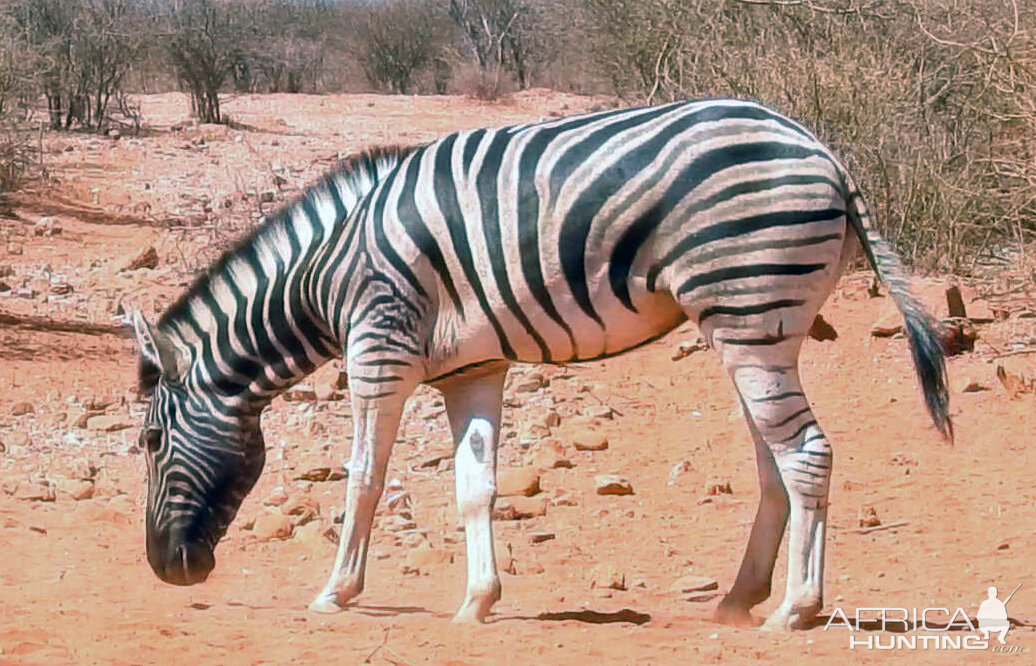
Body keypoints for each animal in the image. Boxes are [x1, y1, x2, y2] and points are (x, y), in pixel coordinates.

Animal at [131, 98, 953, 629]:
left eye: (148, 441)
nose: (165, 569)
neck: (325, 270)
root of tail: (825, 151)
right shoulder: (469, 370)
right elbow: (475, 488)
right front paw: (477, 602)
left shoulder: (378, 348)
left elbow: (364, 478)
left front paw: (337, 592)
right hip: (759, 326)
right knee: (775, 459)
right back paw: (739, 599)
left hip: (748, 308)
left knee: (807, 452)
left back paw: (795, 609)